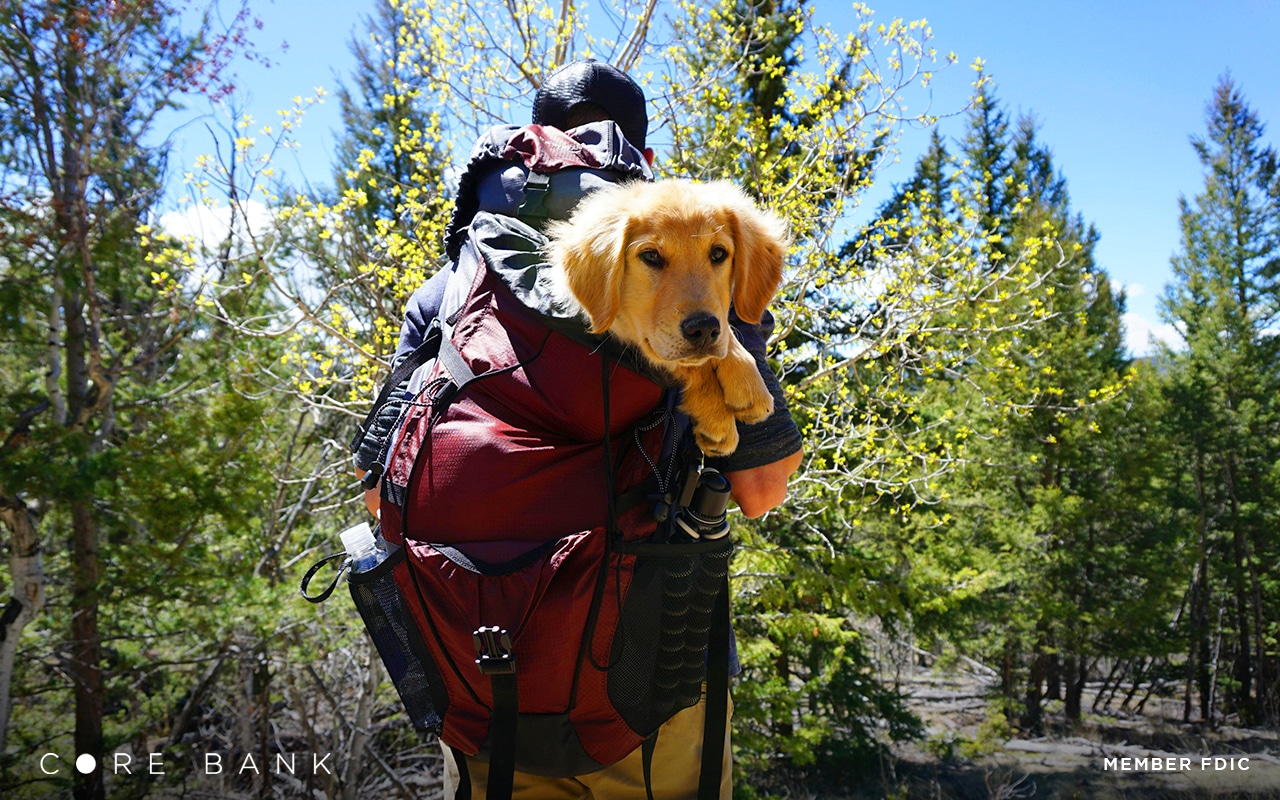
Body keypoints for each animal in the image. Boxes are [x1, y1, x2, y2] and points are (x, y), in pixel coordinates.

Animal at [542, 179, 783, 455]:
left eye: (718, 254)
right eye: (651, 256)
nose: (703, 329)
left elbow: (721, 335)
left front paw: (745, 378)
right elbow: (677, 360)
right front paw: (717, 414)